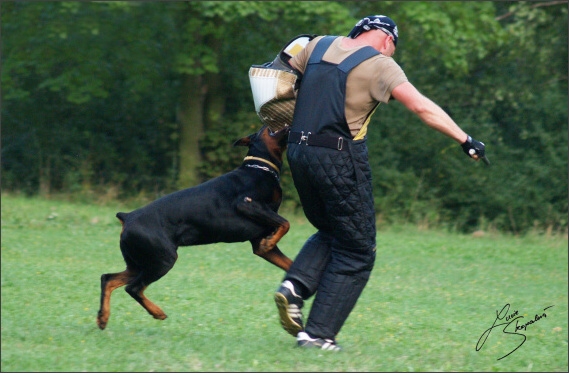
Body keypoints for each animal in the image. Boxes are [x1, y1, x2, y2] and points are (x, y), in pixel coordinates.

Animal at [96, 124, 290, 328]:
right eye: (265, 128)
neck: (260, 168)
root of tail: (128, 217)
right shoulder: (247, 204)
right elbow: (286, 222)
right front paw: (271, 241)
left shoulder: (259, 242)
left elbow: (288, 261)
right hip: (162, 260)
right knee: (133, 288)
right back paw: (157, 312)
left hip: (140, 262)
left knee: (108, 279)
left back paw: (103, 317)